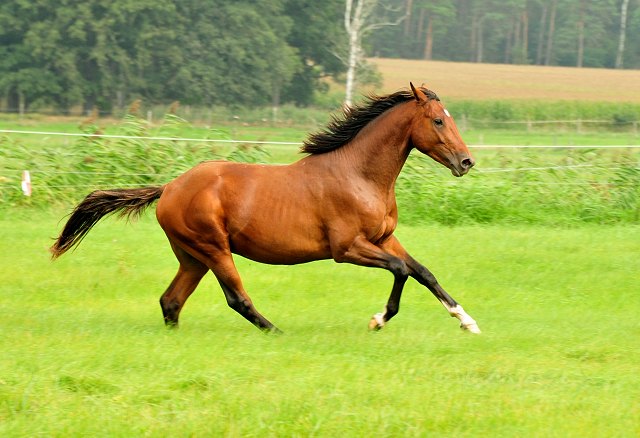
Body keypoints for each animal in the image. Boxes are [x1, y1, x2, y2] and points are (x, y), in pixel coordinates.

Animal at [50, 84, 480, 334]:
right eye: (438, 121)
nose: (466, 162)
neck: (359, 174)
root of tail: (169, 187)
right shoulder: (346, 248)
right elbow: (401, 270)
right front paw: (378, 320)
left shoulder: (384, 237)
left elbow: (423, 272)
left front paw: (467, 320)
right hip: (213, 249)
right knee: (235, 297)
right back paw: (275, 331)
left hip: (193, 257)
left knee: (171, 301)